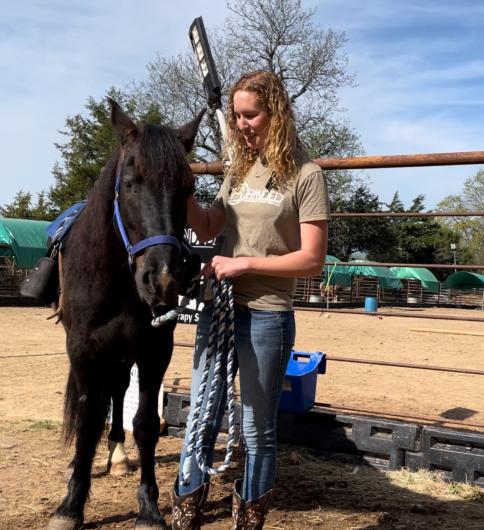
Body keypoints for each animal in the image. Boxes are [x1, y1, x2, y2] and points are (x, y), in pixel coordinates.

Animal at [48, 99, 205, 528]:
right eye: (131, 182)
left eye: (188, 188)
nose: (163, 278)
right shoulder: (82, 351)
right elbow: (87, 421)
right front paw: (70, 505)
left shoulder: (154, 352)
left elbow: (145, 424)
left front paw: (149, 508)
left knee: (119, 393)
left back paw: (117, 456)